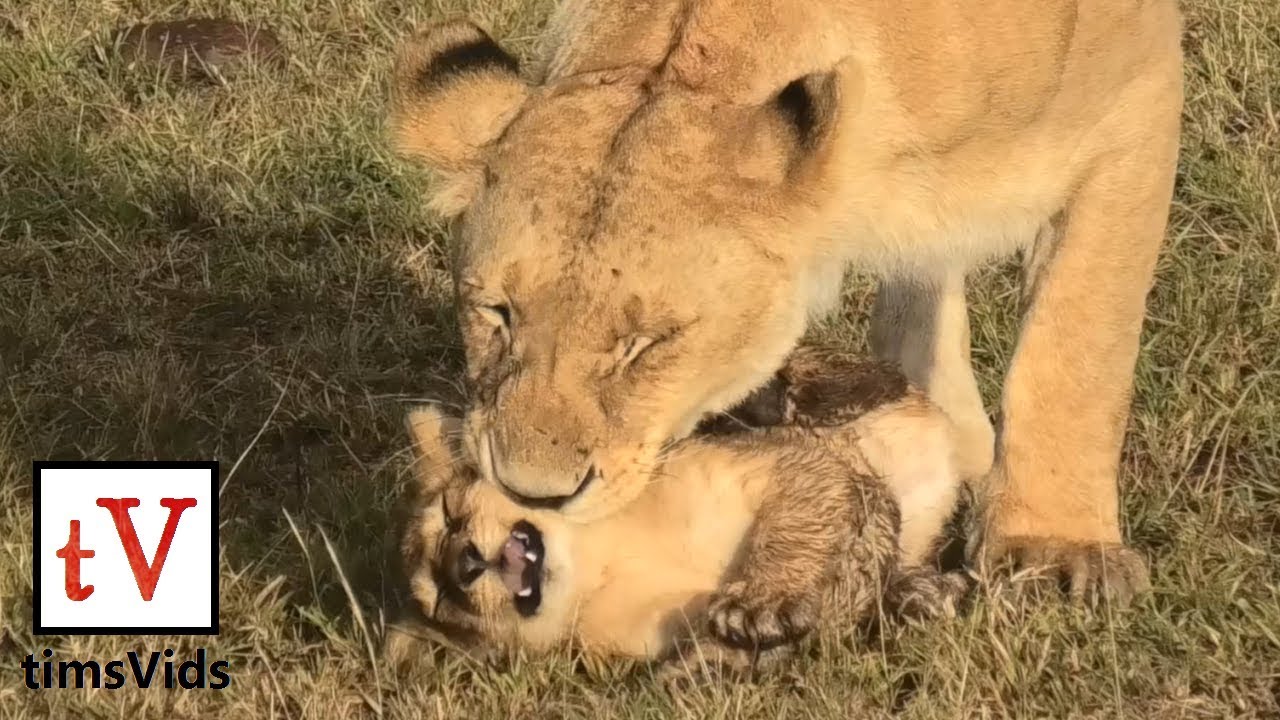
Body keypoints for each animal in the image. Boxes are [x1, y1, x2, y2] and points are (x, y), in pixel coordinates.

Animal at [387, 2, 1179, 603]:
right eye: (498, 314)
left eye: (650, 343)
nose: (533, 495)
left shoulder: (1137, 98)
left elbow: (1079, 342)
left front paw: (1055, 546)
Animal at [397, 346, 969, 673]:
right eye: (443, 601)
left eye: (449, 511)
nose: (464, 564)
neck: (607, 562)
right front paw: (701, 668)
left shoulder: (794, 465)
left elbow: (797, 528)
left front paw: (760, 603)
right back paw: (922, 594)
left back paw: (772, 397)